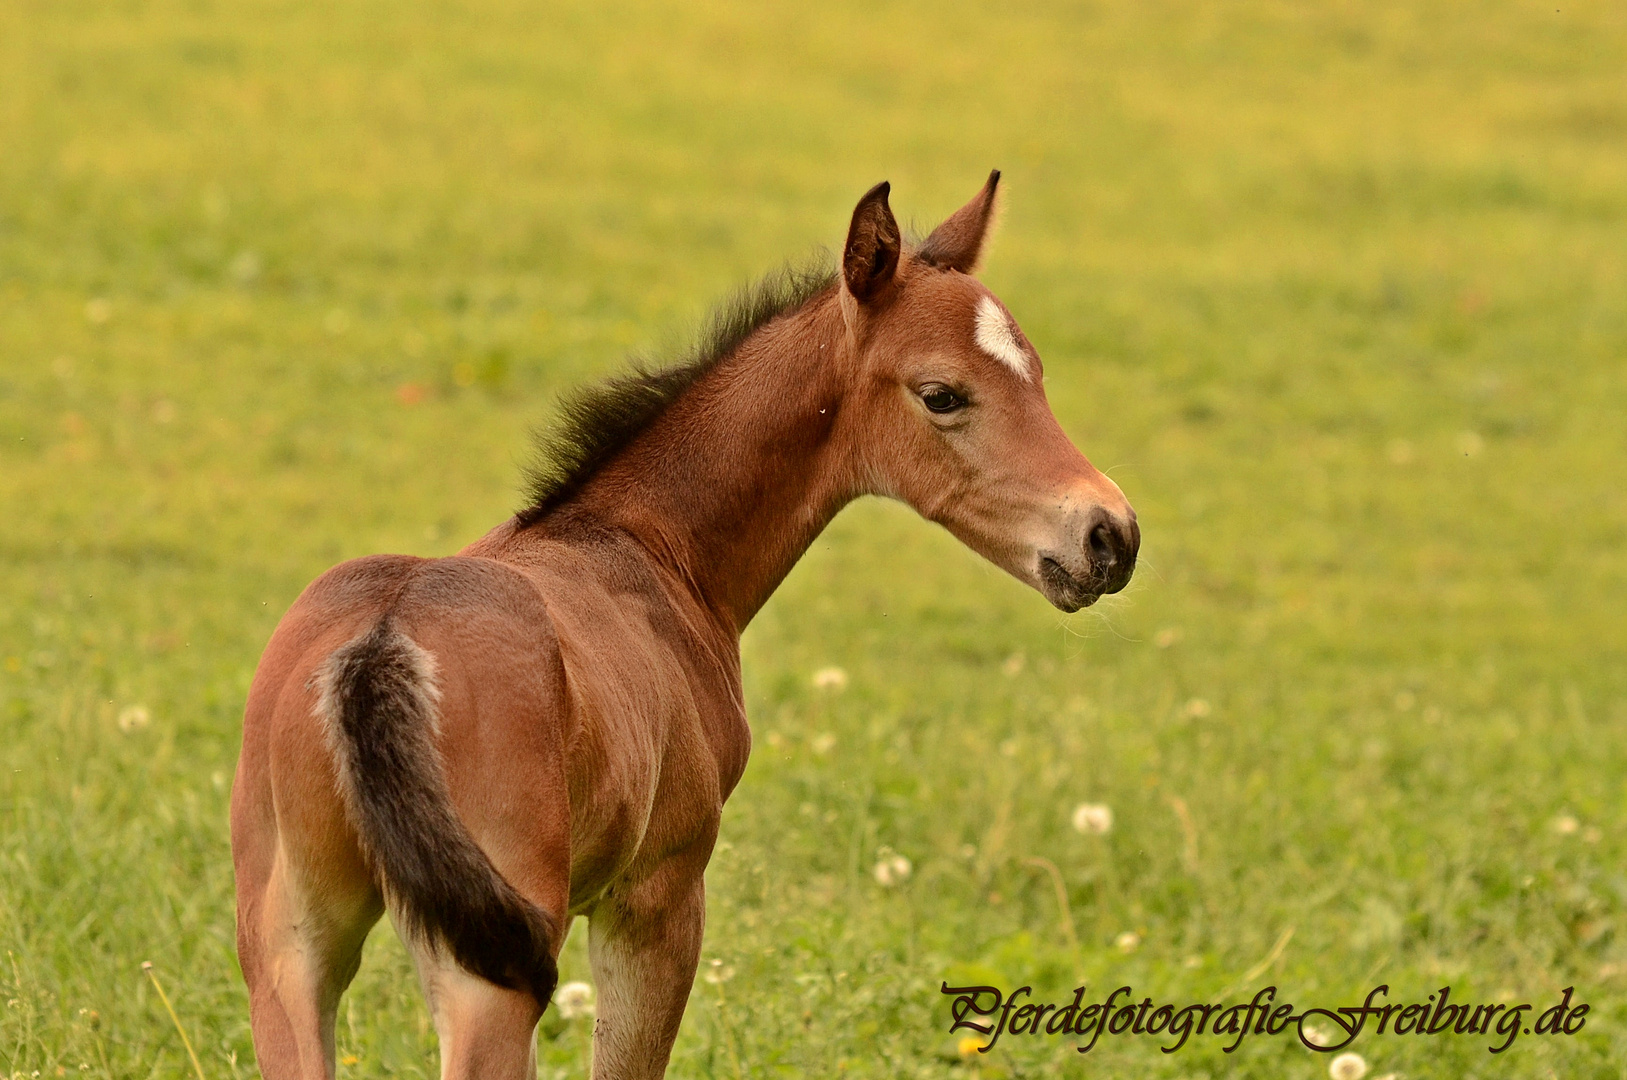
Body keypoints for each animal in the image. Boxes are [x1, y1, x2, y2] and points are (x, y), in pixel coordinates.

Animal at [235, 173, 1138, 1073]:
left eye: (1036, 374)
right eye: (940, 394)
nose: (1110, 536)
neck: (650, 549)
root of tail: (379, 644)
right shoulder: (658, 898)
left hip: (290, 951)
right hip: (486, 977)